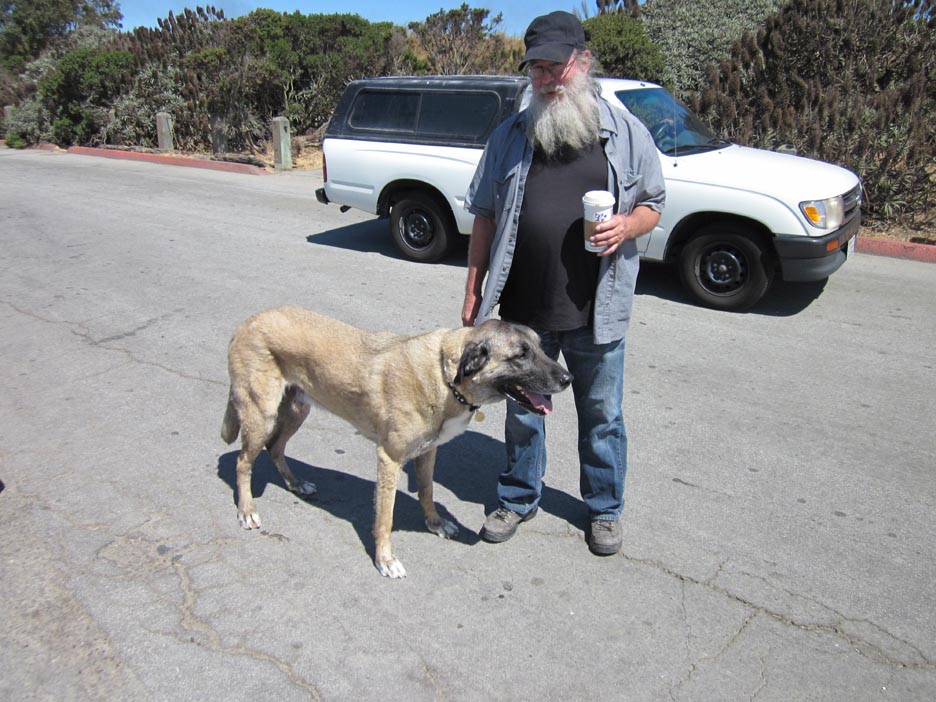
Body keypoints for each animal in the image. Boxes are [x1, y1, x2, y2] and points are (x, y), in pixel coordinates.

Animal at [221, 307, 572, 578]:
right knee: (243, 462)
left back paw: (295, 484)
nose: (568, 379)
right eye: (520, 355)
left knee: (275, 448)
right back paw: (246, 510)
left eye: (540, 347)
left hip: (297, 409)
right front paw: (385, 559)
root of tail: (248, 321)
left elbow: (427, 492)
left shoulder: (428, 452)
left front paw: (435, 524)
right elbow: (385, 518)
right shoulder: (389, 459)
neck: (445, 374)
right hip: (262, 415)